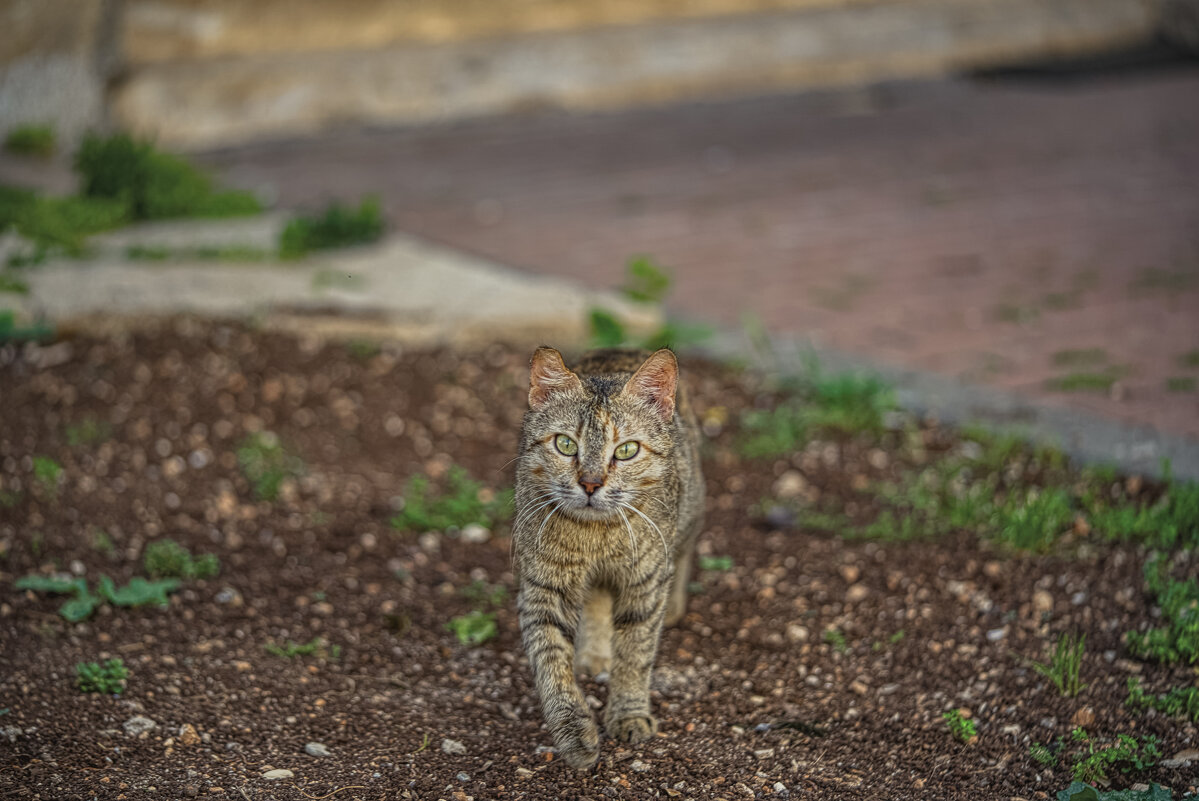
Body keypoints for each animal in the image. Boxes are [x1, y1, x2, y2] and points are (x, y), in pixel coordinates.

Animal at [513, 347, 700, 767]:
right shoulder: (543, 585)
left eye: (626, 450)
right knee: (597, 600)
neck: (597, 537)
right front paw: (574, 731)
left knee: (684, 550)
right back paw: (595, 653)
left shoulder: (646, 582)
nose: (590, 484)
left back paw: (676, 605)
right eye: (566, 445)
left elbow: (635, 653)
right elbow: (551, 663)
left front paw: (628, 714)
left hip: (690, 510)